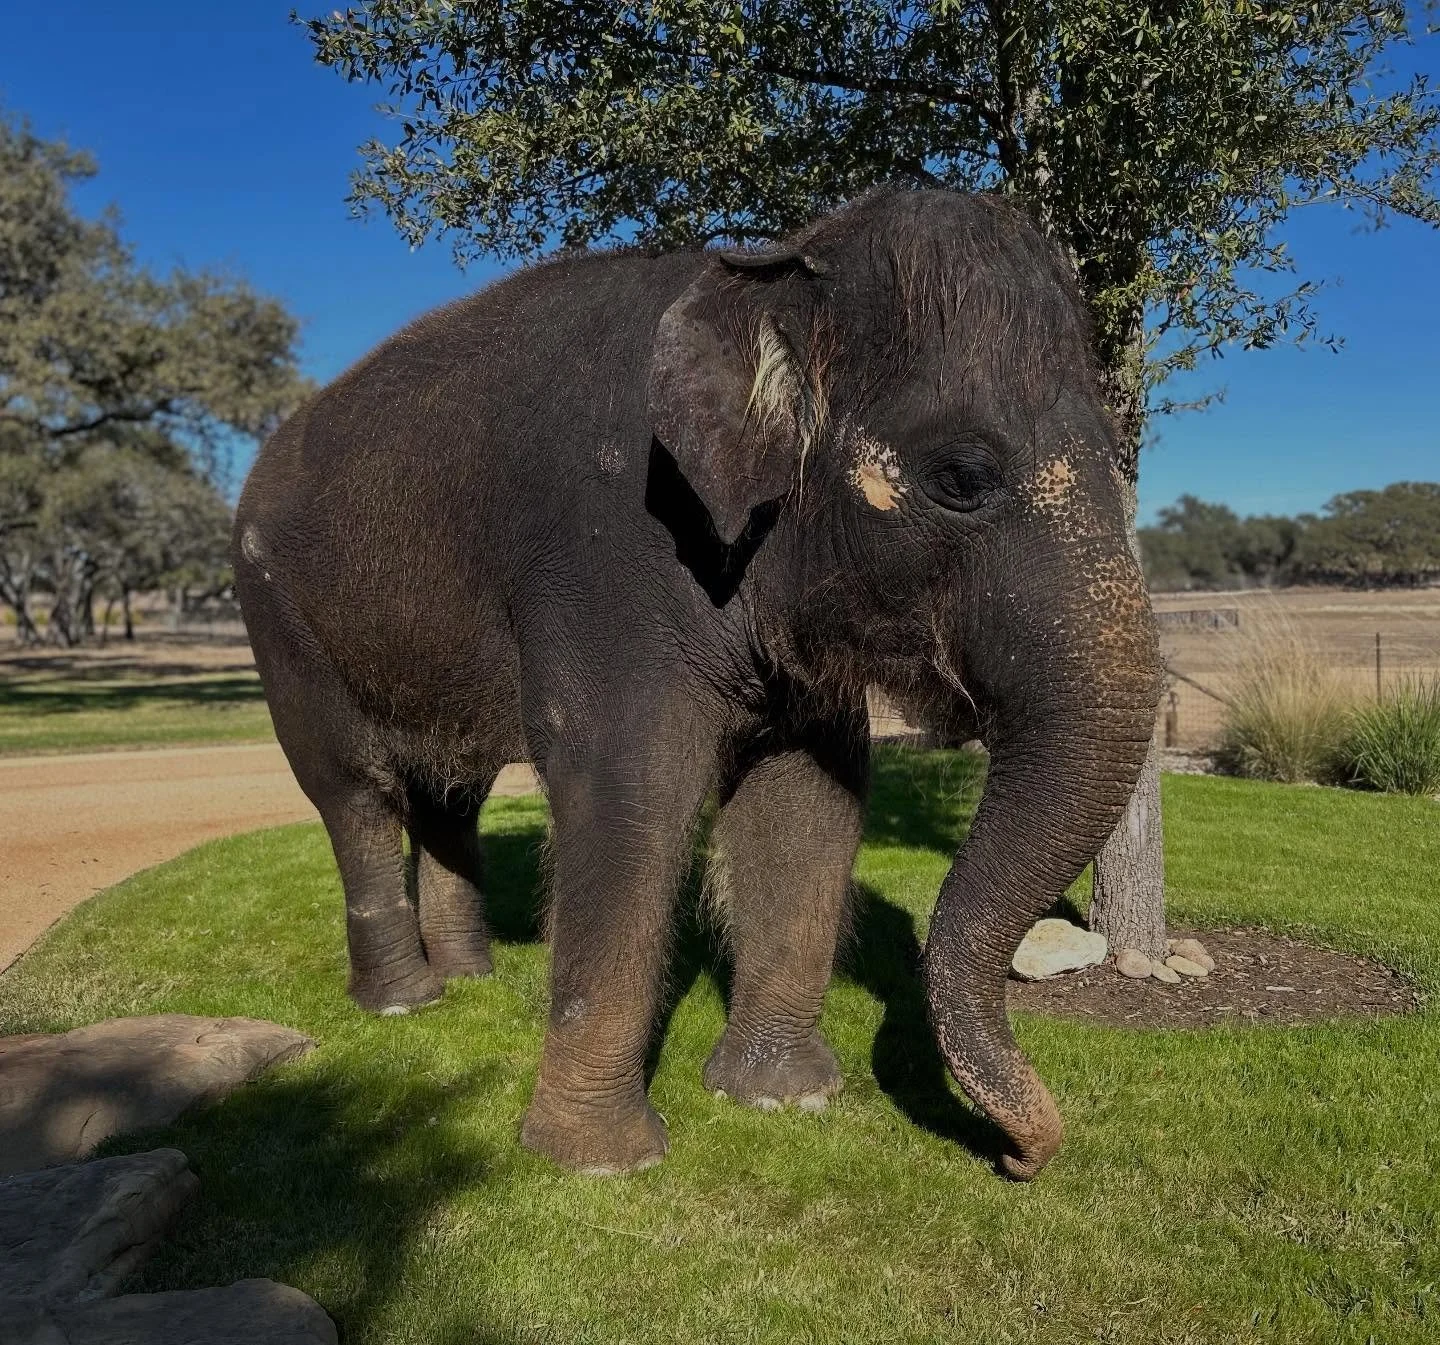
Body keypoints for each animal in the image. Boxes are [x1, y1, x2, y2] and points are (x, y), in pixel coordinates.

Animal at [234, 188, 1161, 1181]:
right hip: (279, 620)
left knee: (452, 791)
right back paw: (405, 1002)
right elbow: (631, 787)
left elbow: (810, 796)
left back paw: (472, 979)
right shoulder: (608, 553)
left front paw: (783, 1097)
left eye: (1123, 456)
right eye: (961, 477)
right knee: (352, 790)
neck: (779, 262)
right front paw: (600, 1161)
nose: (1017, 1159)